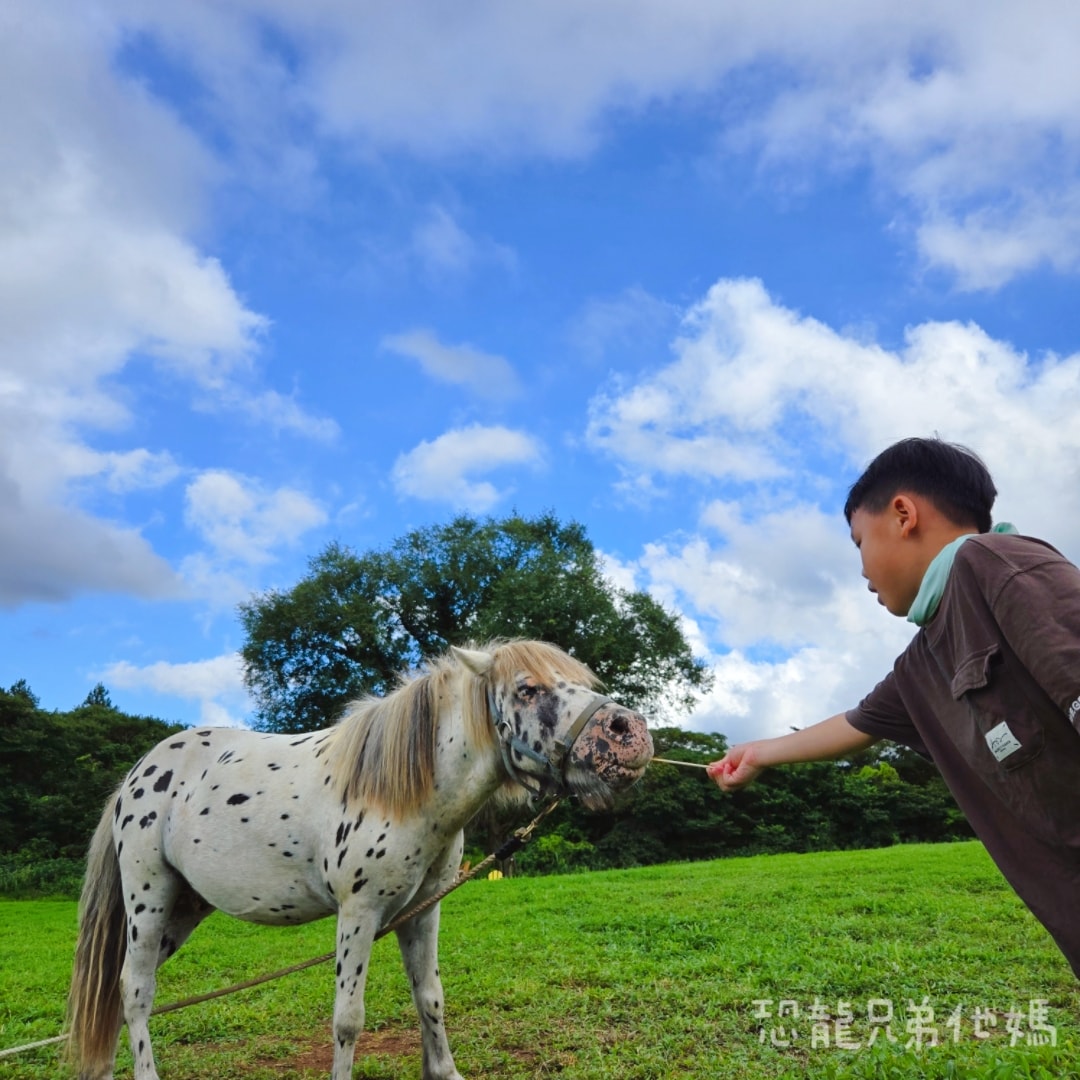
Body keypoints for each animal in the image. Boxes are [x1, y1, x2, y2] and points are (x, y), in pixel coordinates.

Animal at [67, 640, 654, 1080]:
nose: (628, 734)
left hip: (183, 910)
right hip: (149, 900)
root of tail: (134, 777)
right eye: (527, 689)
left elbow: (430, 997)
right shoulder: (359, 914)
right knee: (136, 992)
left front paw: (444, 1070)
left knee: (117, 993)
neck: (402, 793)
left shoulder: (422, 912)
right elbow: (348, 1020)